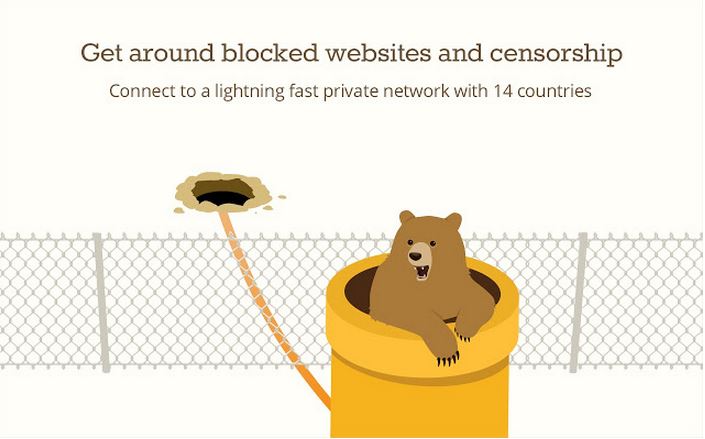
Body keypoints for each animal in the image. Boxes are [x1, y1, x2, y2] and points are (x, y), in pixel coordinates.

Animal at [369, 210, 497, 366]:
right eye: (409, 241)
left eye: (433, 242)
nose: (415, 255)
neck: (429, 282)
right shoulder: (393, 288)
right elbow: (410, 312)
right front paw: (449, 353)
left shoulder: (459, 285)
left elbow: (482, 299)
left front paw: (463, 332)